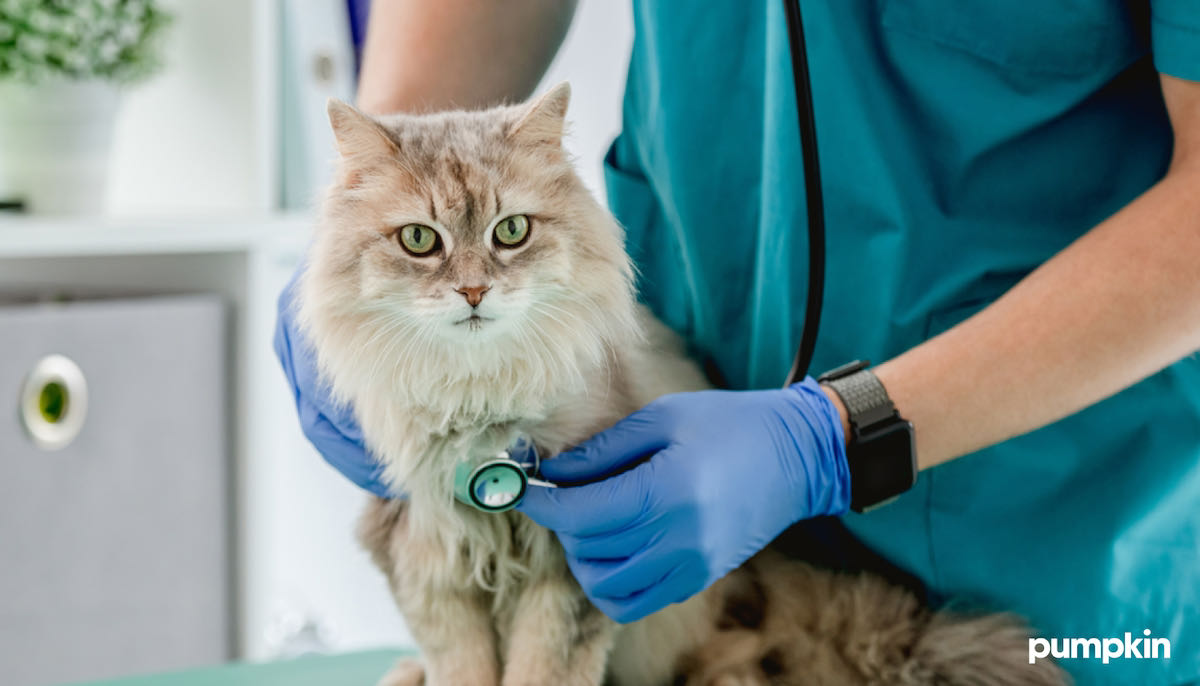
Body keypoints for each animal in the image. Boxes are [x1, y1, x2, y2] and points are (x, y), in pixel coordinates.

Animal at [295, 81, 1065, 686]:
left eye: (511, 231)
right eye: (419, 241)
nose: (475, 292)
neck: (480, 404)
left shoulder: (572, 572)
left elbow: (542, 671)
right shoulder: (424, 563)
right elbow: (462, 670)